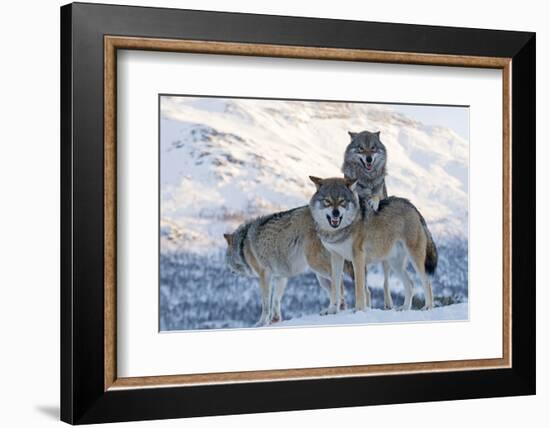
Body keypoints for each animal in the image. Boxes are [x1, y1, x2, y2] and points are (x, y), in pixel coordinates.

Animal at [342, 130, 394, 308]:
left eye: (373, 148)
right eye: (361, 148)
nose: (369, 159)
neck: (367, 179)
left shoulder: (379, 191)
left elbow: (376, 196)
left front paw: (373, 202)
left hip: (385, 258)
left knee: (385, 283)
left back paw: (388, 304)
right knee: (366, 289)